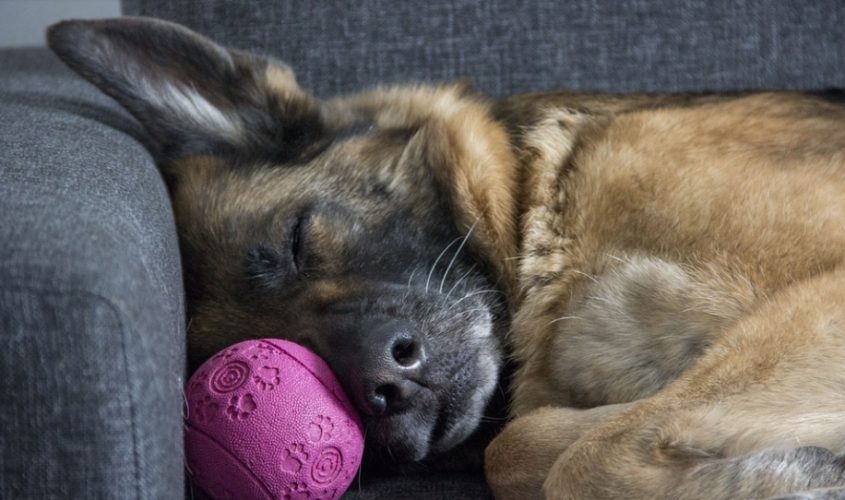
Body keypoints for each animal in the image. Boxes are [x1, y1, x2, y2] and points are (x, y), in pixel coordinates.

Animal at [49, 16, 844, 500]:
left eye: (297, 239)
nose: (384, 387)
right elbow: (523, 447)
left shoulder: (820, 296)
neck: (537, 200)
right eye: (267, 349)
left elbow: (586, 453)